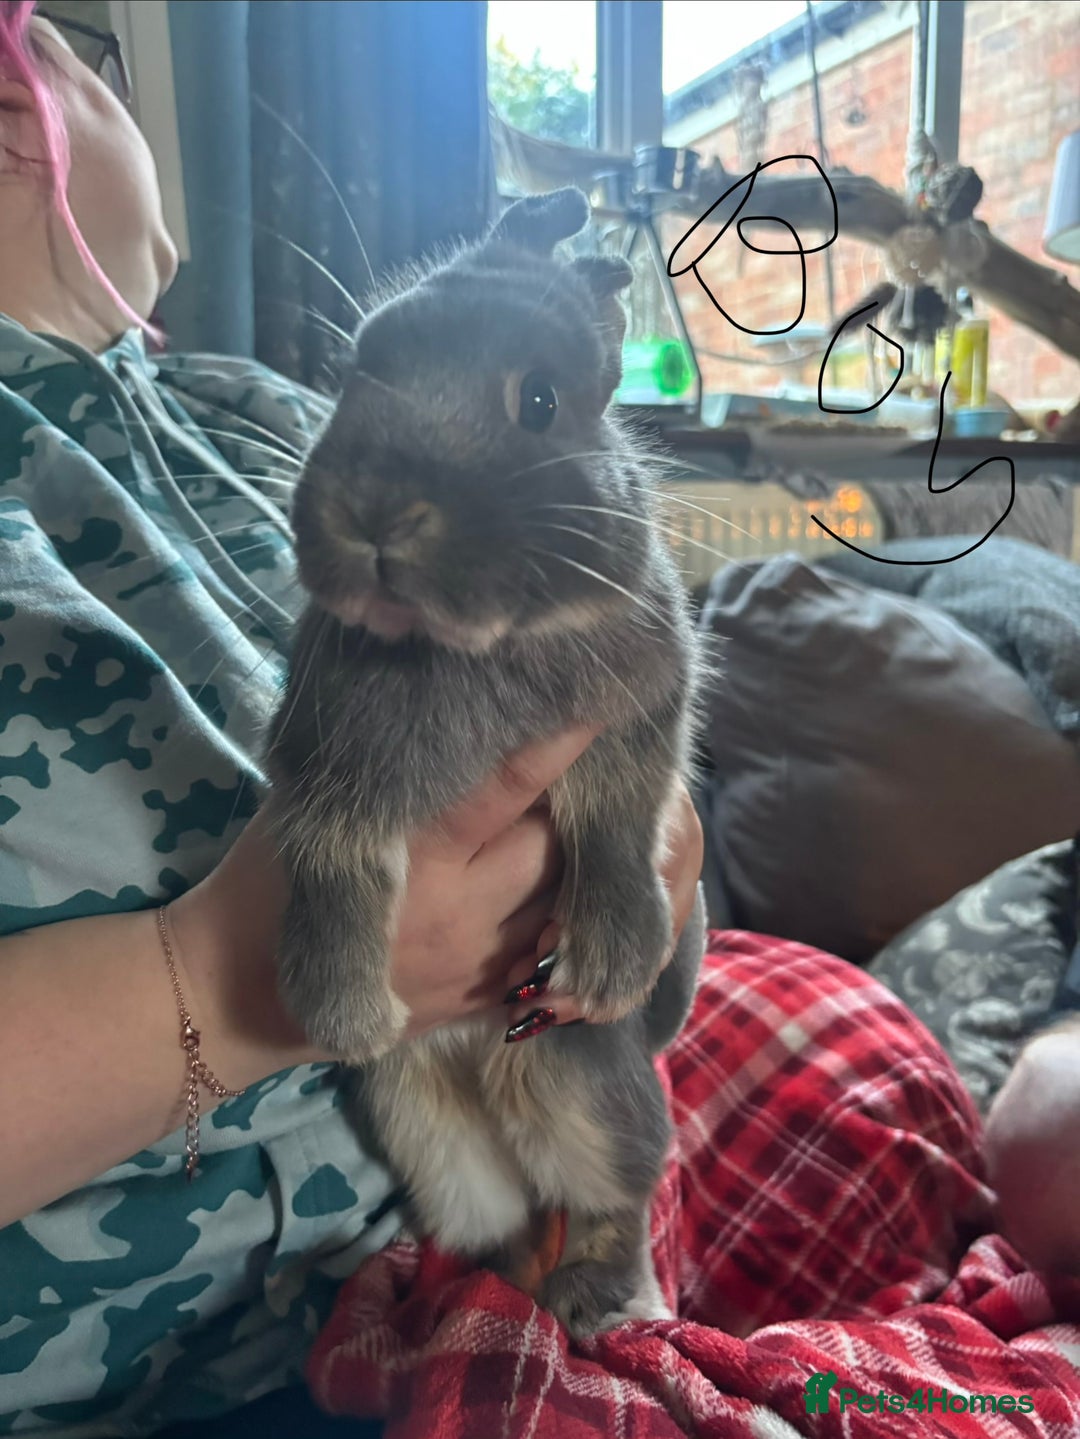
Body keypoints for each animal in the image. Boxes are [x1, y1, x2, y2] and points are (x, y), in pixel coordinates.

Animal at [263, 187, 707, 1337]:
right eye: (359, 369)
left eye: (540, 401)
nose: (377, 510)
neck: (464, 646)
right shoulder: (324, 771)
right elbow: (329, 867)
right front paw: (344, 1012)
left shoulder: (635, 720)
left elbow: (616, 825)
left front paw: (610, 959)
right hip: (425, 1132)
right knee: (492, 1218)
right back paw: (473, 1302)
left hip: (580, 1082)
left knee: (617, 1187)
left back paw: (591, 1304)